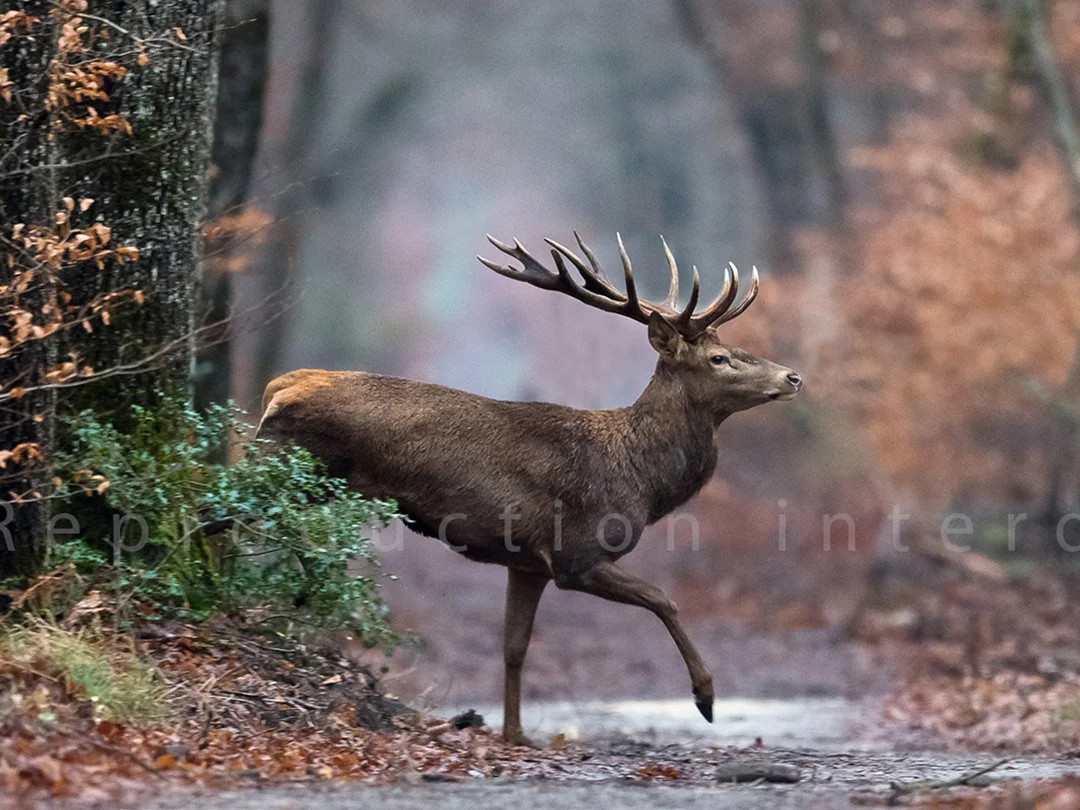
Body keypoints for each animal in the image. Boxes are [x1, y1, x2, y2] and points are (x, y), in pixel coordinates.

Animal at [258, 231, 802, 745]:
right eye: (719, 357)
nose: (793, 376)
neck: (640, 479)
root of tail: (278, 386)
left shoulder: (526, 562)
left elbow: (514, 646)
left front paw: (514, 733)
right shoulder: (575, 554)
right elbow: (662, 597)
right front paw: (706, 697)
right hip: (298, 471)